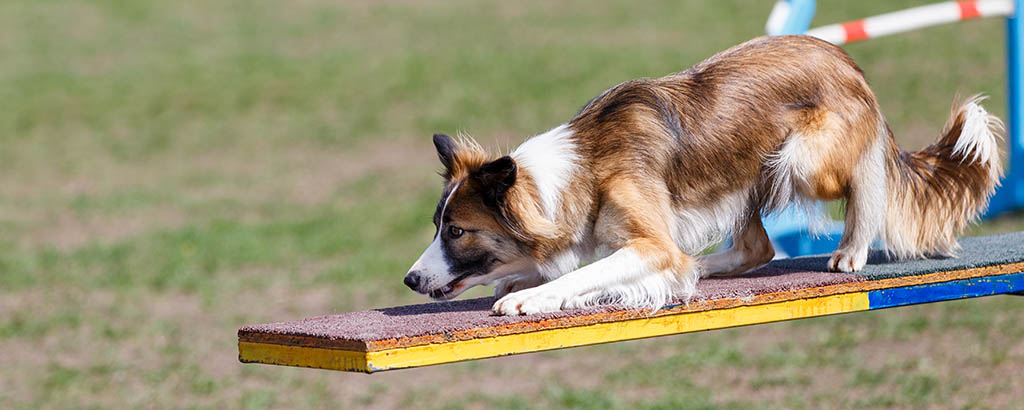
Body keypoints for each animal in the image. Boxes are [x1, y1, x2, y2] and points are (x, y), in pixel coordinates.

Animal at [399, 36, 999, 317]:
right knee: (757, 248)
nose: (409, 280)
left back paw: (851, 249)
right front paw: (521, 282)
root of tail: (846, 61)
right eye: (437, 226)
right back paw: (703, 268)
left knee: (866, 179)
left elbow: (583, 273)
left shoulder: (651, 244)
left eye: (457, 231)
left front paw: (528, 299)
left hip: (801, 160)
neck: (584, 168)